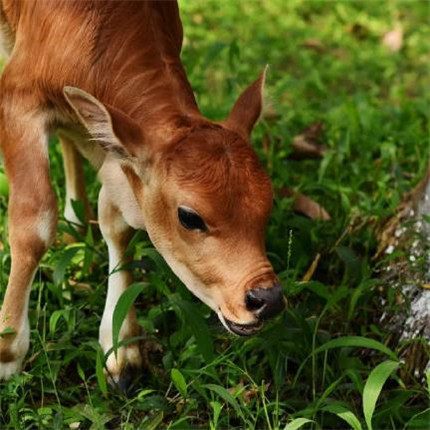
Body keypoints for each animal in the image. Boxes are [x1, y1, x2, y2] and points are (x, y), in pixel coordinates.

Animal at [0, 1, 286, 386]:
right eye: (189, 217)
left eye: (267, 205)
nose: (267, 299)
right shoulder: (17, 96)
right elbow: (34, 224)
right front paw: (8, 347)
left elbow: (117, 225)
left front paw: (122, 344)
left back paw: (78, 220)